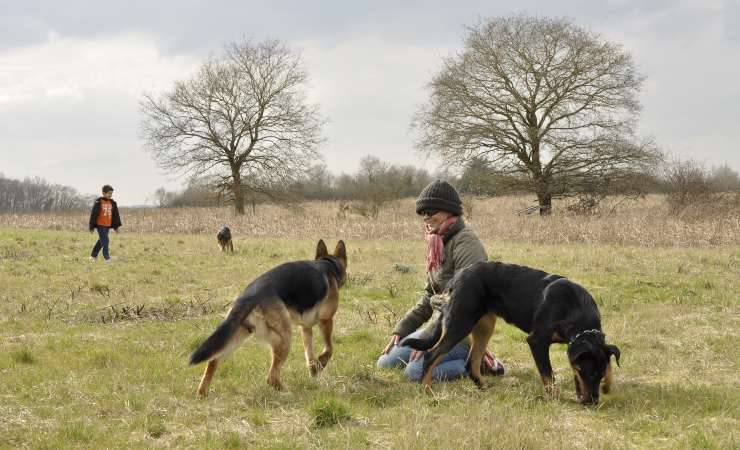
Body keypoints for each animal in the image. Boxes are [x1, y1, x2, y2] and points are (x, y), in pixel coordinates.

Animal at [186, 241, 346, 396]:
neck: (328, 264)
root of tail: (249, 296)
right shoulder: (326, 320)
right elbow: (329, 348)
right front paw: (321, 362)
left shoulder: (305, 327)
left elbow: (309, 352)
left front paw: (314, 369)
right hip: (284, 339)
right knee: (271, 377)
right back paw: (286, 392)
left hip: (237, 336)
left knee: (213, 361)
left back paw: (202, 393)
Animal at [402, 260, 620, 404]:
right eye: (589, 372)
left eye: (599, 375)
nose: (593, 402)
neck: (576, 310)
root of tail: (457, 278)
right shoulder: (537, 341)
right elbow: (548, 375)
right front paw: (555, 399)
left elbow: (609, 361)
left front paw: (608, 385)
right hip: (460, 323)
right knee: (431, 355)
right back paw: (427, 390)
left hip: (484, 326)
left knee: (471, 362)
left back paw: (483, 388)